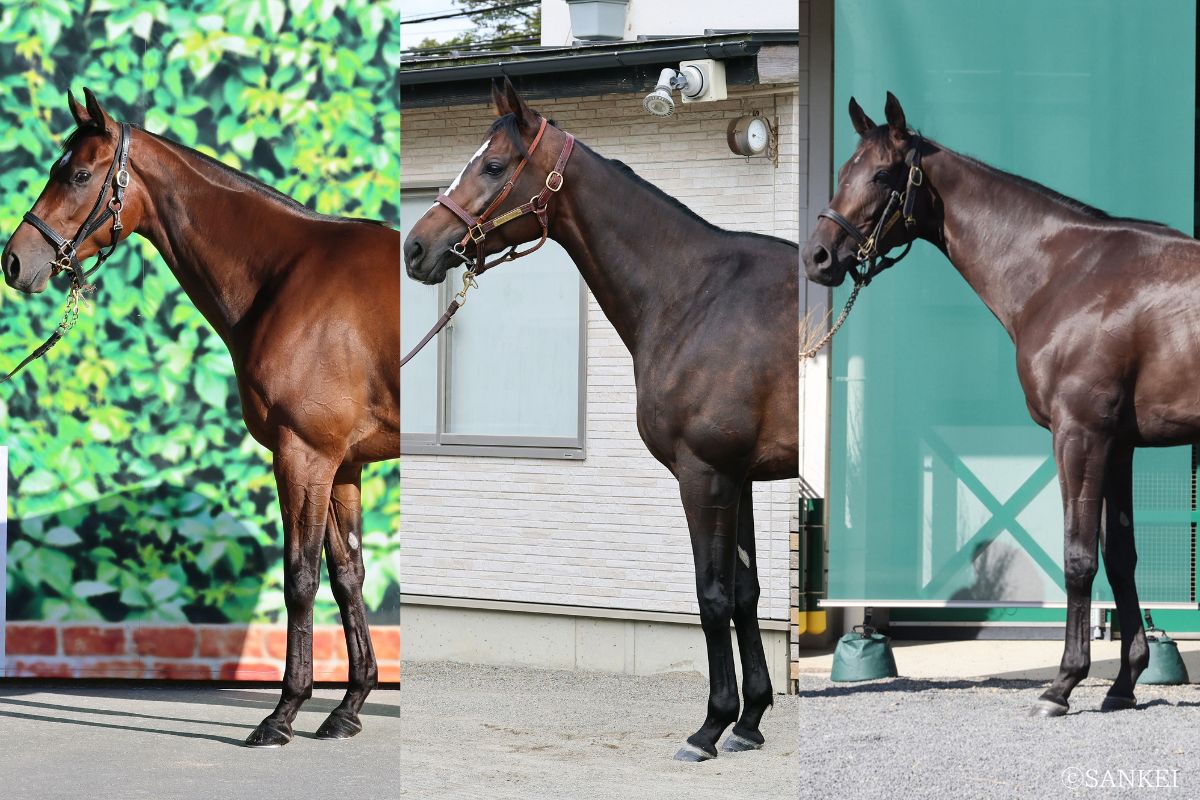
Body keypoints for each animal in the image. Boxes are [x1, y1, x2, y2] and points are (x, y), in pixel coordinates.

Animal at [1, 89, 399, 746]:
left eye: (78, 174)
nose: (13, 261)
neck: (286, 275)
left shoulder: (303, 455)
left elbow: (300, 579)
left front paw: (283, 713)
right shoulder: (343, 465)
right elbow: (348, 576)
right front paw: (347, 708)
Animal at [403, 78, 799, 761]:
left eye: (494, 165)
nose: (416, 247)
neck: (696, 296)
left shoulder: (704, 474)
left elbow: (711, 595)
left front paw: (711, 726)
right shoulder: (741, 475)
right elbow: (745, 594)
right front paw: (750, 720)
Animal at [802, 91, 1200, 716]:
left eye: (883, 174)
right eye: (844, 171)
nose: (818, 256)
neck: (1066, 272)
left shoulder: (1081, 434)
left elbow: (1079, 556)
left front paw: (1062, 684)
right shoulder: (1120, 445)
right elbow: (1120, 556)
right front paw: (1123, 684)